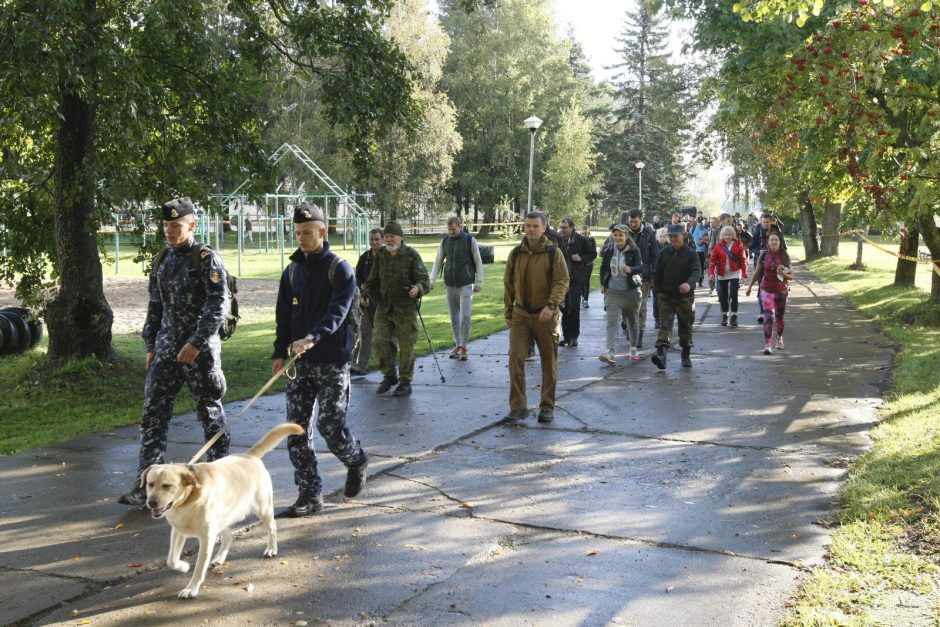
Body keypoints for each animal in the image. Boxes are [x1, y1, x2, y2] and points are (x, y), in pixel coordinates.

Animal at [141, 422, 302, 600]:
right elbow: (171, 560)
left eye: (167, 486)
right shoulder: (178, 531)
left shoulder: (206, 537)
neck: (188, 499)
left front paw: (191, 588)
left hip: (263, 508)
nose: (151, 502)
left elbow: (199, 567)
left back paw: (271, 549)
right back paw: (219, 558)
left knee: (272, 526)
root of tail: (249, 456)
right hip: (223, 518)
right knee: (229, 537)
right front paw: (183, 566)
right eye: (150, 484)